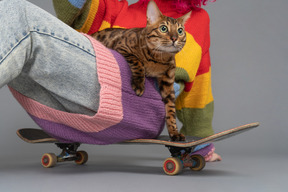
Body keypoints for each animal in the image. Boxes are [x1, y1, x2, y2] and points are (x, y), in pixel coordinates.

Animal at [91, 0, 191, 141]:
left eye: (180, 31)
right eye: (163, 28)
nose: (174, 38)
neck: (159, 58)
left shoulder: (168, 83)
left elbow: (171, 109)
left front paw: (174, 132)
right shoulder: (121, 46)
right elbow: (138, 63)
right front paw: (139, 84)